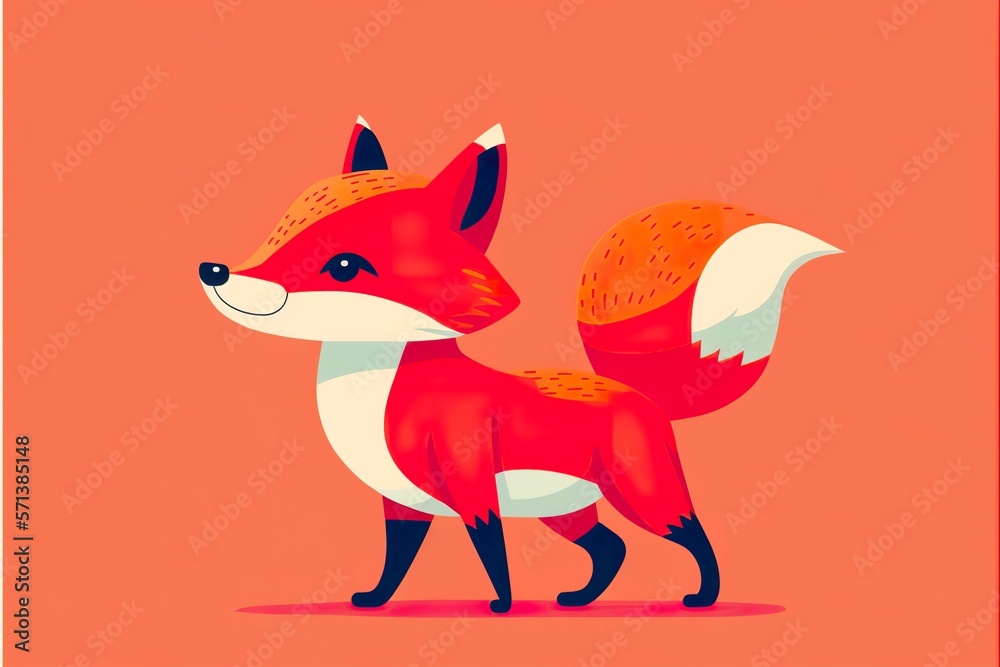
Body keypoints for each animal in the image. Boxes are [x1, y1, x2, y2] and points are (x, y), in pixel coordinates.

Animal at [200, 116, 841, 614]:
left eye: (343, 265)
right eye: (279, 230)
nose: (214, 270)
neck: (377, 392)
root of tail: (634, 390)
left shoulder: (471, 480)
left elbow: (491, 551)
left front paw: (501, 606)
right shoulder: (401, 502)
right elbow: (396, 563)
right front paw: (374, 601)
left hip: (643, 495)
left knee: (692, 536)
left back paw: (703, 598)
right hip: (567, 511)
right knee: (611, 549)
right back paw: (579, 600)